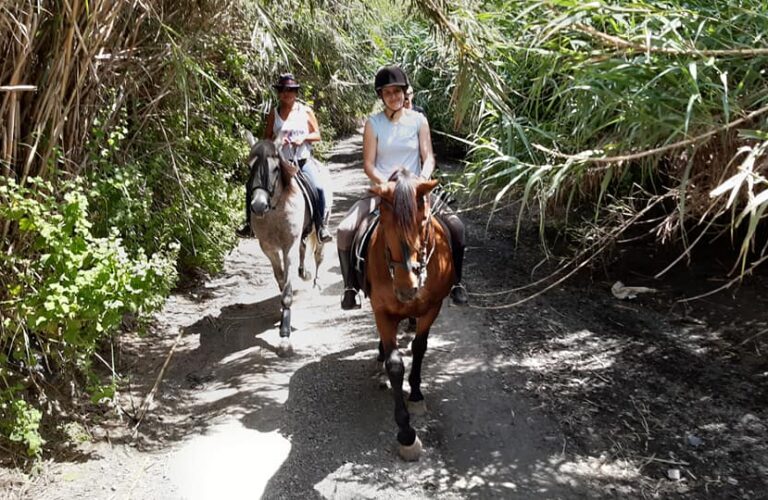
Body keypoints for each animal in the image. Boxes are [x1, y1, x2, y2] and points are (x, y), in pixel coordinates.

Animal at [245, 131, 333, 357]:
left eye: (276, 168)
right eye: (250, 167)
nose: (258, 205)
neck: (275, 211)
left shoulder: (287, 247)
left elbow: (286, 285)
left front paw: (284, 336)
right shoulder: (268, 249)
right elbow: (280, 279)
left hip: (323, 222)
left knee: (318, 254)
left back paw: (316, 282)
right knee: (304, 248)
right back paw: (305, 273)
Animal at [366, 168, 455, 461]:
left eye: (423, 220)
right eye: (383, 220)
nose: (407, 288)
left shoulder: (433, 307)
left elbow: (419, 347)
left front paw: (416, 394)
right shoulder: (382, 311)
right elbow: (395, 365)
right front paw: (406, 434)